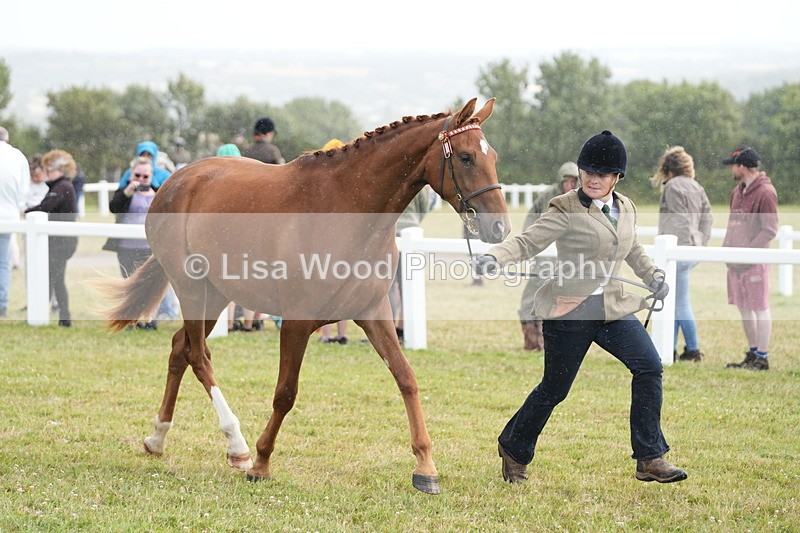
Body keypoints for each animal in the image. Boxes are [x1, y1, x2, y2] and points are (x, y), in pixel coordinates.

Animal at [104, 97, 510, 494]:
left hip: (216, 294)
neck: (347, 211)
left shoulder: (374, 314)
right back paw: (237, 447)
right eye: (465, 157)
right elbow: (285, 393)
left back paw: (157, 438)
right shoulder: (297, 322)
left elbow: (406, 378)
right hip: (190, 287)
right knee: (199, 356)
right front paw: (261, 463)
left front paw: (425, 467)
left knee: (180, 349)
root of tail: (176, 180)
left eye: (493, 157)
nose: (499, 227)